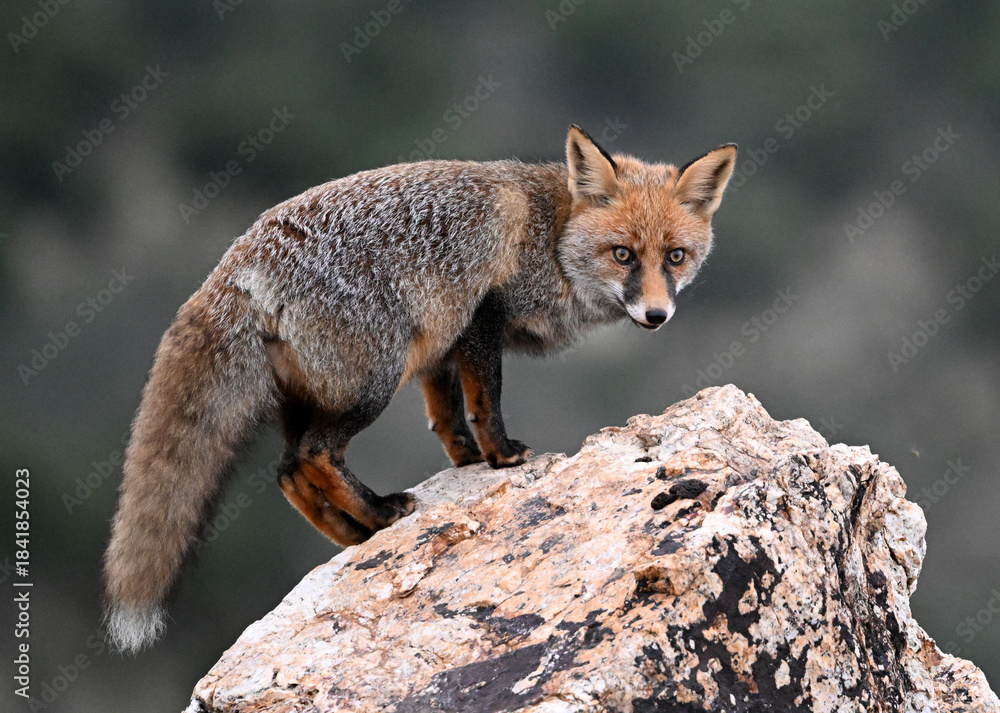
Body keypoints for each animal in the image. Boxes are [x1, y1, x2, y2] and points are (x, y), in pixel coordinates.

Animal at [102, 125, 736, 653]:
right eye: (623, 254)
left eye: (675, 257)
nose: (655, 315)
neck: (553, 236)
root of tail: (237, 262)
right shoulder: (482, 313)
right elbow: (485, 402)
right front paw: (502, 457)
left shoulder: (441, 341)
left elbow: (446, 415)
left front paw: (466, 462)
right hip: (372, 382)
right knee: (314, 453)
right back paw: (382, 511)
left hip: (316, 392)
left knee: (287, 470)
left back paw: (355, 532)